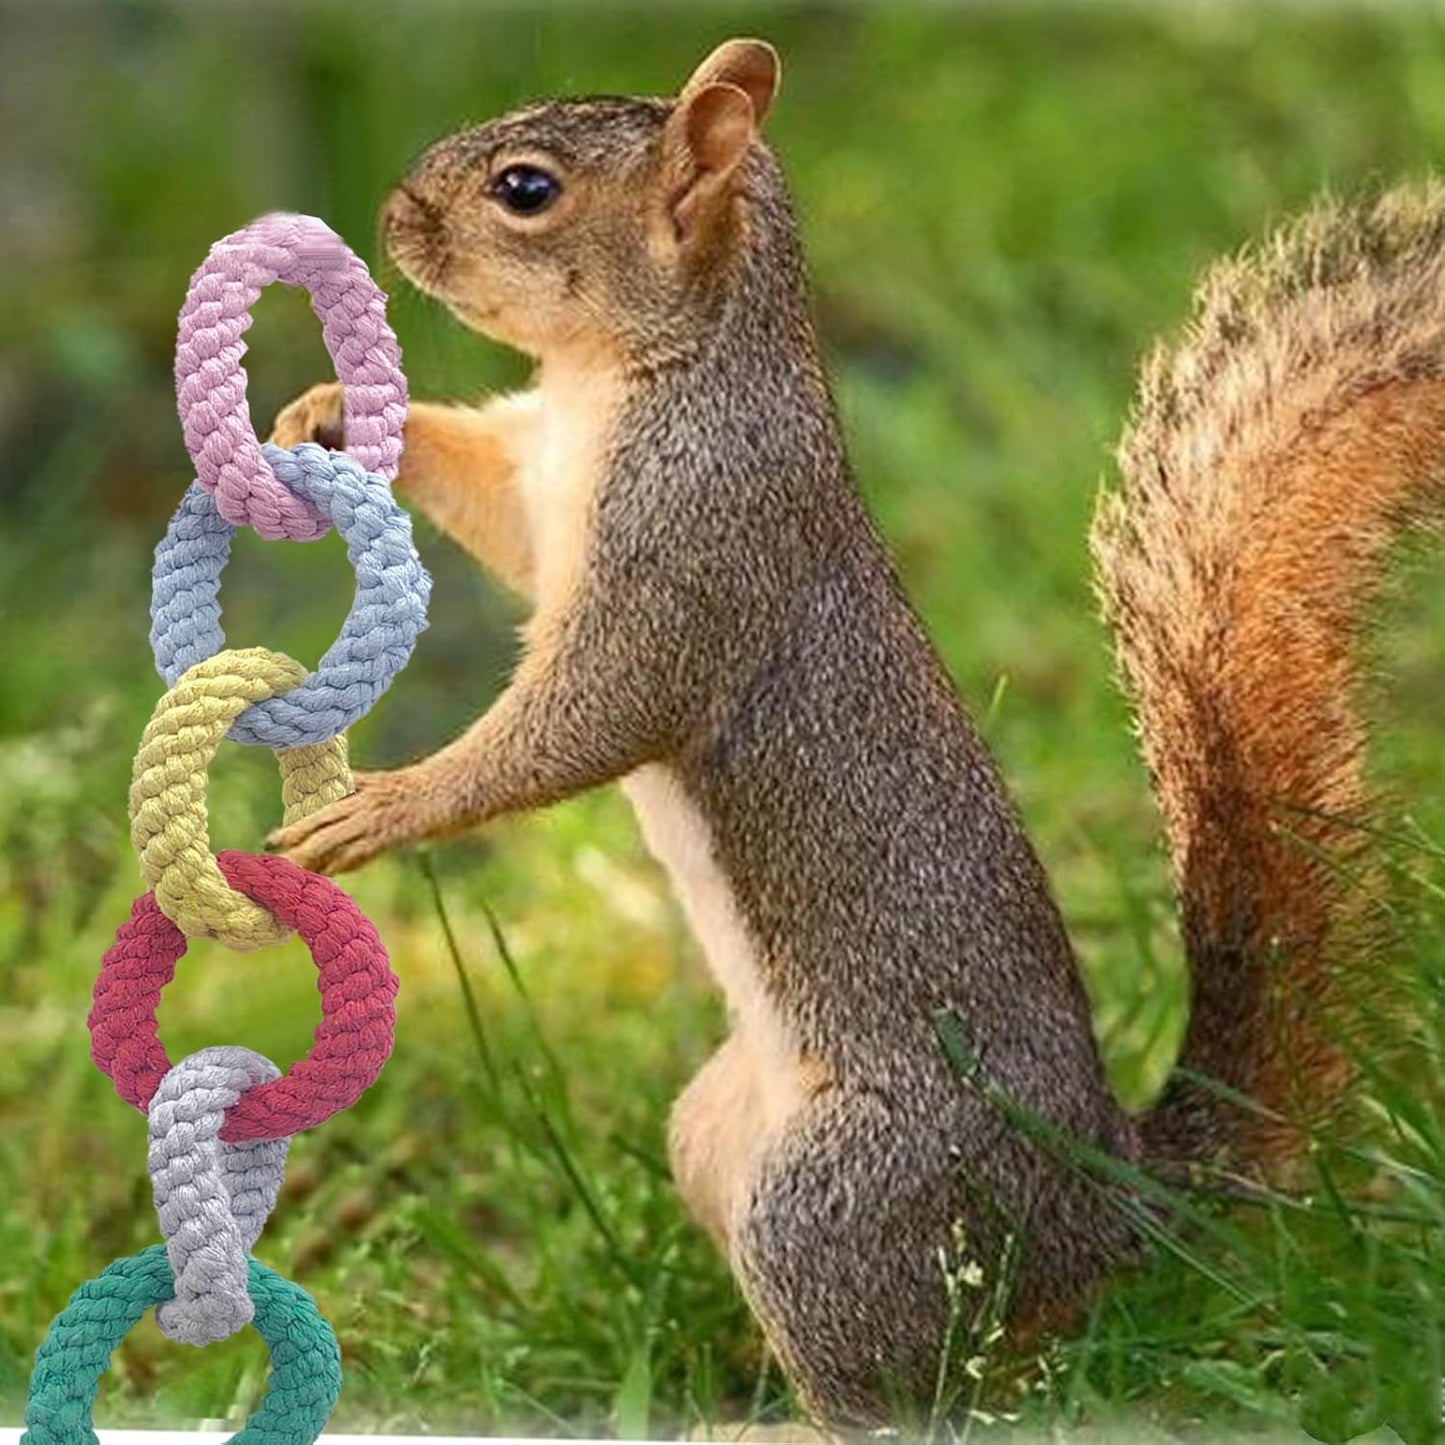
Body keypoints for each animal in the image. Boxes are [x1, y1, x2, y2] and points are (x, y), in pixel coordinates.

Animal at [267, 37, 1445, 1429]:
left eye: (525, 188)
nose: (393, 216)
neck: (636, 378)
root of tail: (1103, 1207)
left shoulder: (697, 548)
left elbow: (591, 718)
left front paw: (384, 803)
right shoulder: (537, 490)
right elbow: (487, 499)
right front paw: (325, 410)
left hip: (840, 1200)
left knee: (913, 1391)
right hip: (719, 1139)